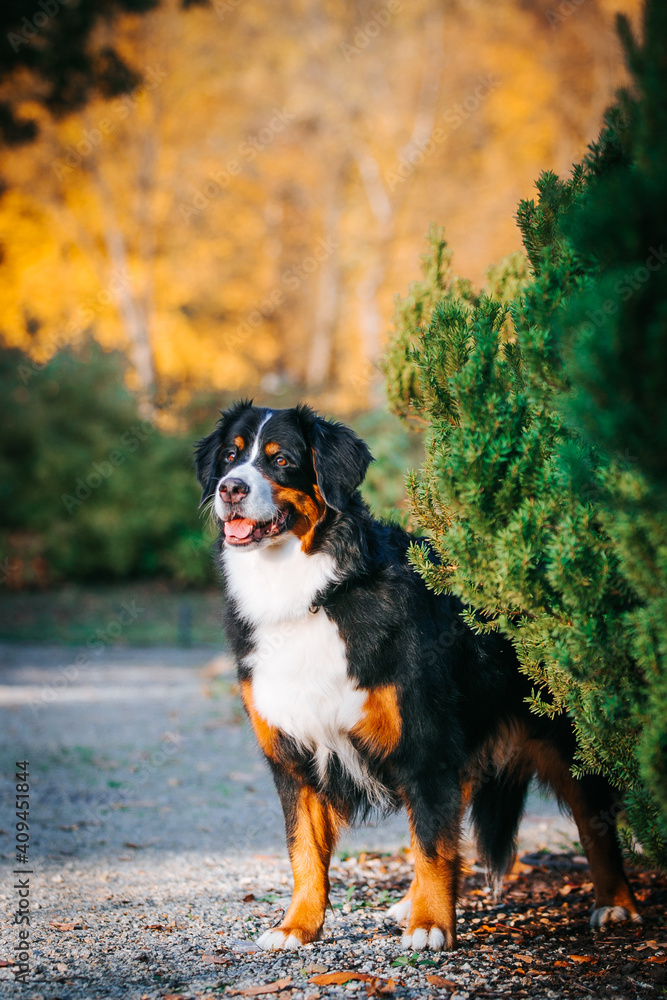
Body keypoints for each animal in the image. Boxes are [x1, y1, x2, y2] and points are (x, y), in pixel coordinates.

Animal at [194, 400, 640, 952]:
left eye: (281, 461)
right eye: (230, 457)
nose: (230, 488)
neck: (313, 595)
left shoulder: (425, 742)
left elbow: (430, 841)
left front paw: (430, 926)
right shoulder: (293, 755)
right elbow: (305, 851)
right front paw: (297, 926)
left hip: (571, 740)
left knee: (595, 824)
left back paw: (616, 904)